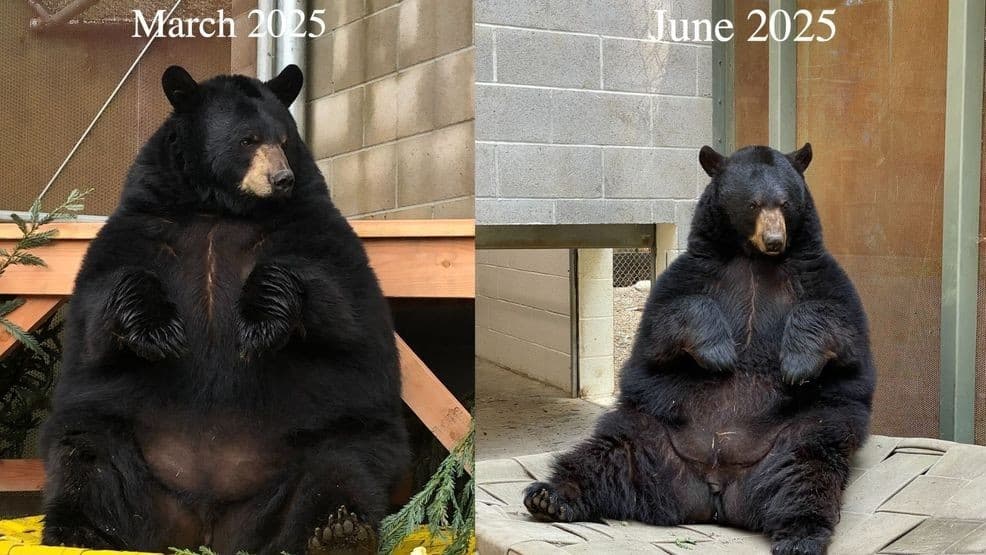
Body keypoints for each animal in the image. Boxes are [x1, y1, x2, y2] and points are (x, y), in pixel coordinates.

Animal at [39, 64, 408, 555]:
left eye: (285, 139)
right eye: (248, 139)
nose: (282, 179)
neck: (220, 209)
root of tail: (208, 527)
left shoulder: (310, 223)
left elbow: (340, 300)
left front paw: (258, 325)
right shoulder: (143, 223)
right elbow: (99, 313)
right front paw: (160, 333)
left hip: (332, 433)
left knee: (343, 466)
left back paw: (338, 531)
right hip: (116, 435)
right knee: (85, 456)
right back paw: (78, 531)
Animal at [523, 144, 875, 555]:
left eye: (785, 203)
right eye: (753, 204)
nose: (775, 239)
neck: (754, 259)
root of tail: (714, 492)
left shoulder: (817, 274)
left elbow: (841, 326)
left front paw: (796, 364)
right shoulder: (694, 273)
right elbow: (666, 321)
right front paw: (719, 354)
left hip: (801, 434)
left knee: (805, 474)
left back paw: (799, 535)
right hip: (648, 433)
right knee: (601, 459)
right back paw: (550, 496)